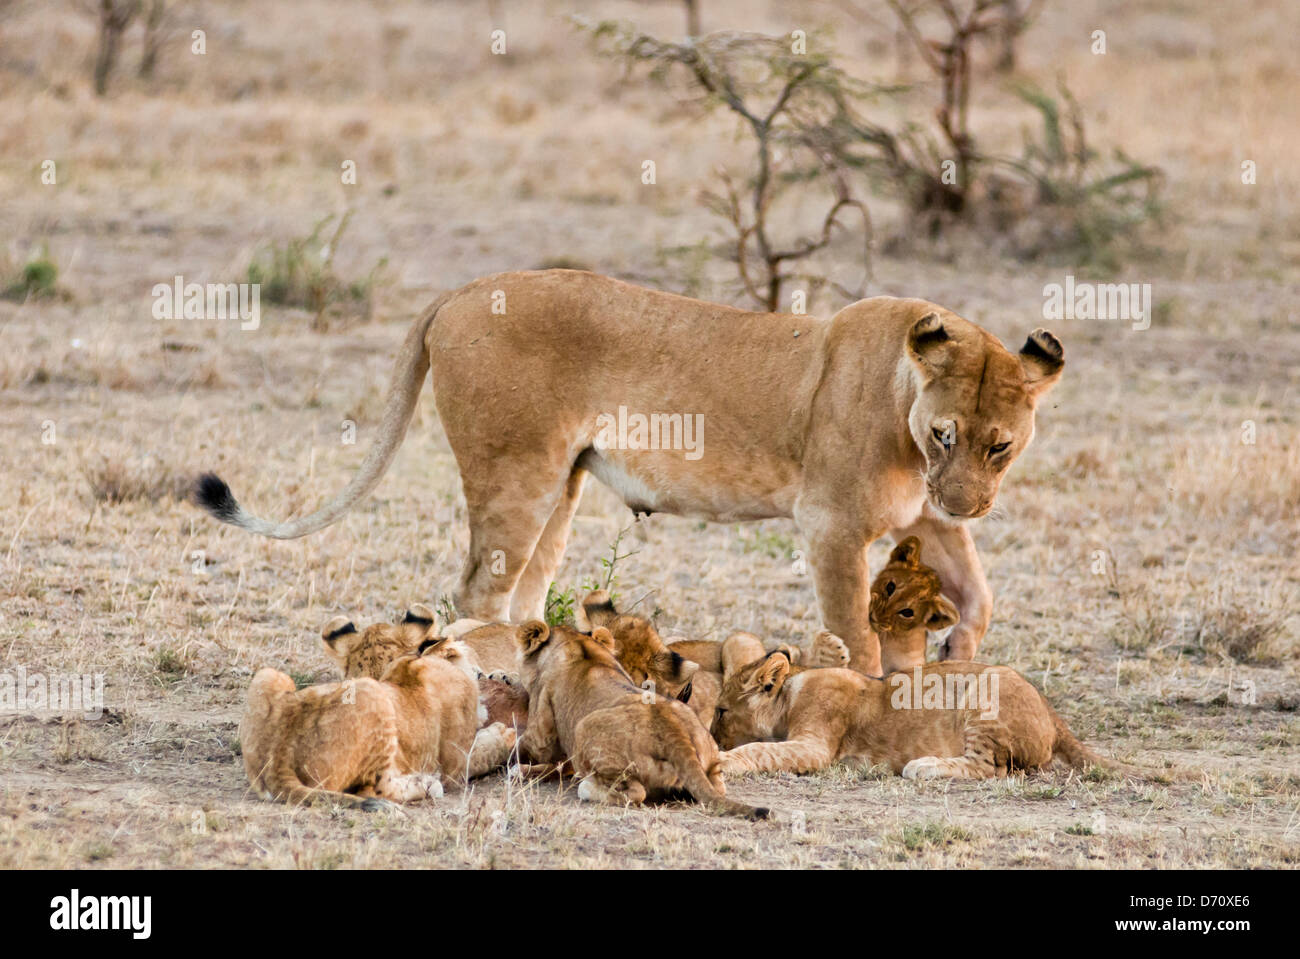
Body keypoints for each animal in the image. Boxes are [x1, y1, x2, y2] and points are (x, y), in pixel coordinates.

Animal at [194, 272, 1064, 676]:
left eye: (999, 446)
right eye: (947, 433)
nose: (970, 501)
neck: (904, 408)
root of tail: (462, 289)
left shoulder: (927, 517)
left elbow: (981, 593)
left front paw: (957, 649)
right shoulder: (832, 525)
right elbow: (854, 633)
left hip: (563, 484)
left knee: (525, 593)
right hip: (517, 474)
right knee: (478, 590)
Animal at [240, 643, 517, 809]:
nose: (490, 674)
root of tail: (278, 757)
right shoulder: (456, 765)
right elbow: (481, 754)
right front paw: (505, 735)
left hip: (269, 675)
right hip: (371, 693)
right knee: (373, 790)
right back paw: (428, 785)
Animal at [513, 620, 769, 819]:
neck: (577, 643)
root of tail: (674, 734)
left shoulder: (540, 723)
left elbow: (531, 746)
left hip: (584, 731)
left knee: (635, 793)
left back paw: (586, 788)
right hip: (709, 755)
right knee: (718, 788)